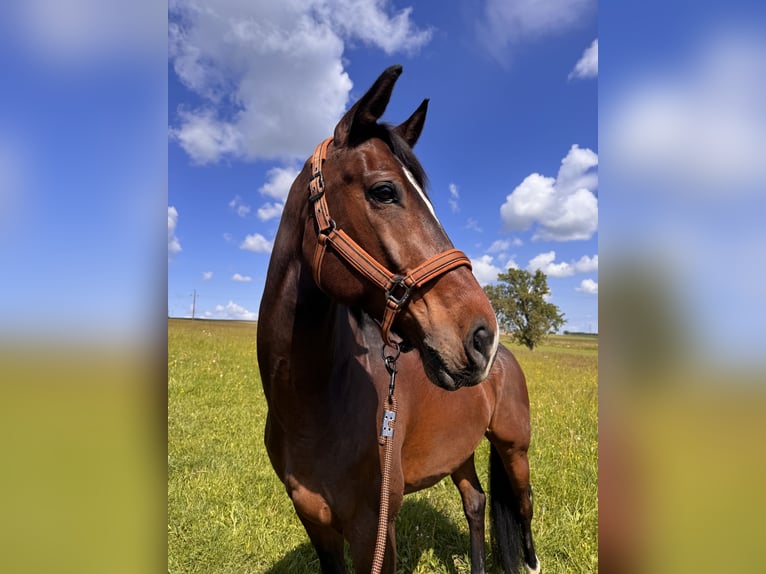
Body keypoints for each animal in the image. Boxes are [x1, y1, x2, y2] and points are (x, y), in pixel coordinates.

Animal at [257, 65, 539, 574]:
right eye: (384, 190)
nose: (482, 336)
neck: (311, 406)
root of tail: (506, 360)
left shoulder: (374, 529)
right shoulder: (316, 525)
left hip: (514, 449)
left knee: (523, 506)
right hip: (460, 450)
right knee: (475, 502)